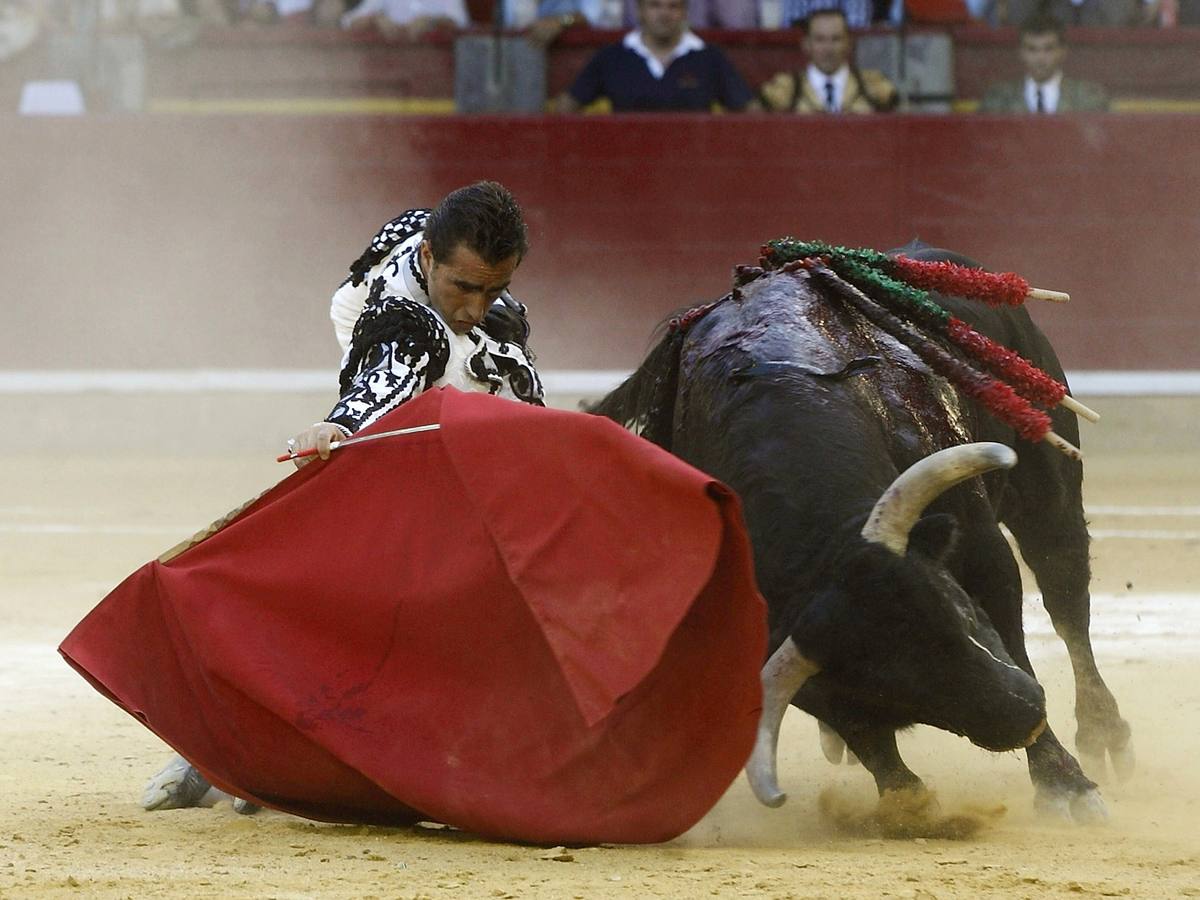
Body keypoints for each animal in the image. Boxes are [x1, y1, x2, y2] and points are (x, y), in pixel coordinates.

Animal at [590, 243, 1132, 830]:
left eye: (959, 612)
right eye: (894, 690)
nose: (1025, 714)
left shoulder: (984, 560)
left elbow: (1014, 639)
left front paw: (1066, 784)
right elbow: (863, 734)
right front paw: (907, 802)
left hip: (1047, 490)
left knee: (1067, 602)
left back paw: (1105, 735)